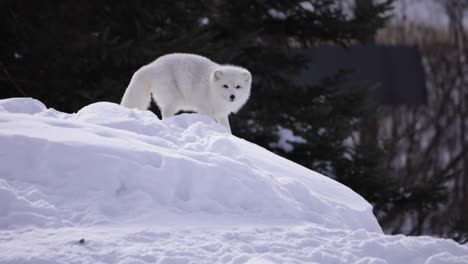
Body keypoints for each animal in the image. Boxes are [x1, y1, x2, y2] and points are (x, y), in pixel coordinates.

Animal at [120, 52, 252, 132]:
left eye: (238, 87)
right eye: (225, 86)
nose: (232, 96)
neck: (211, 88)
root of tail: (152, 65)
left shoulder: (221, 114)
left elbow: (227, 128)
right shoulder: (204, 109)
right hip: (174, 101)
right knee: (165, 114)